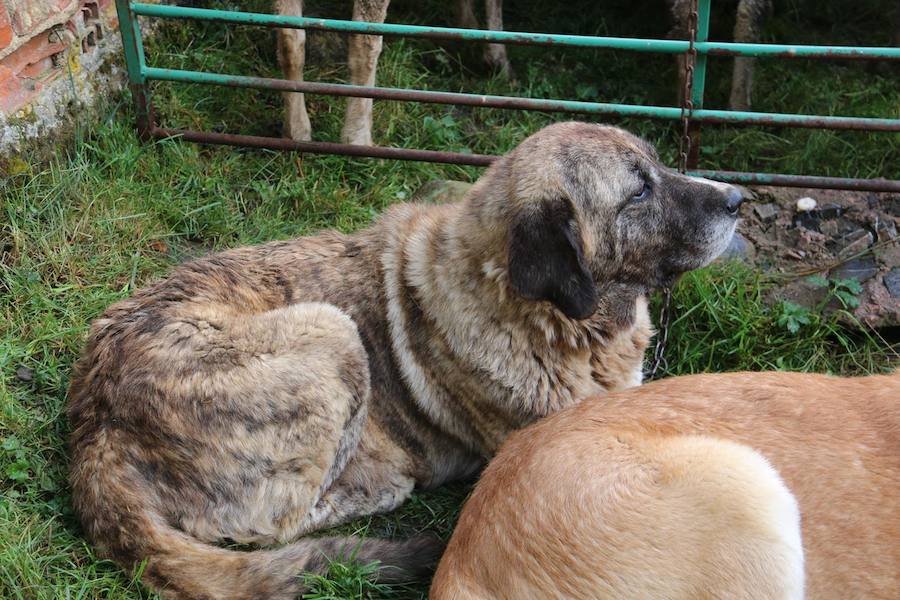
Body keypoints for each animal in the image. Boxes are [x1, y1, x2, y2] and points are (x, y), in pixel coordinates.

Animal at [63, 119, 740, 596]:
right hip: (331, 333)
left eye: (659, 164)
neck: (547, 319)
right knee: (275, 525)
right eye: (638, 190)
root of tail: (94, 426)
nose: (736, 197)